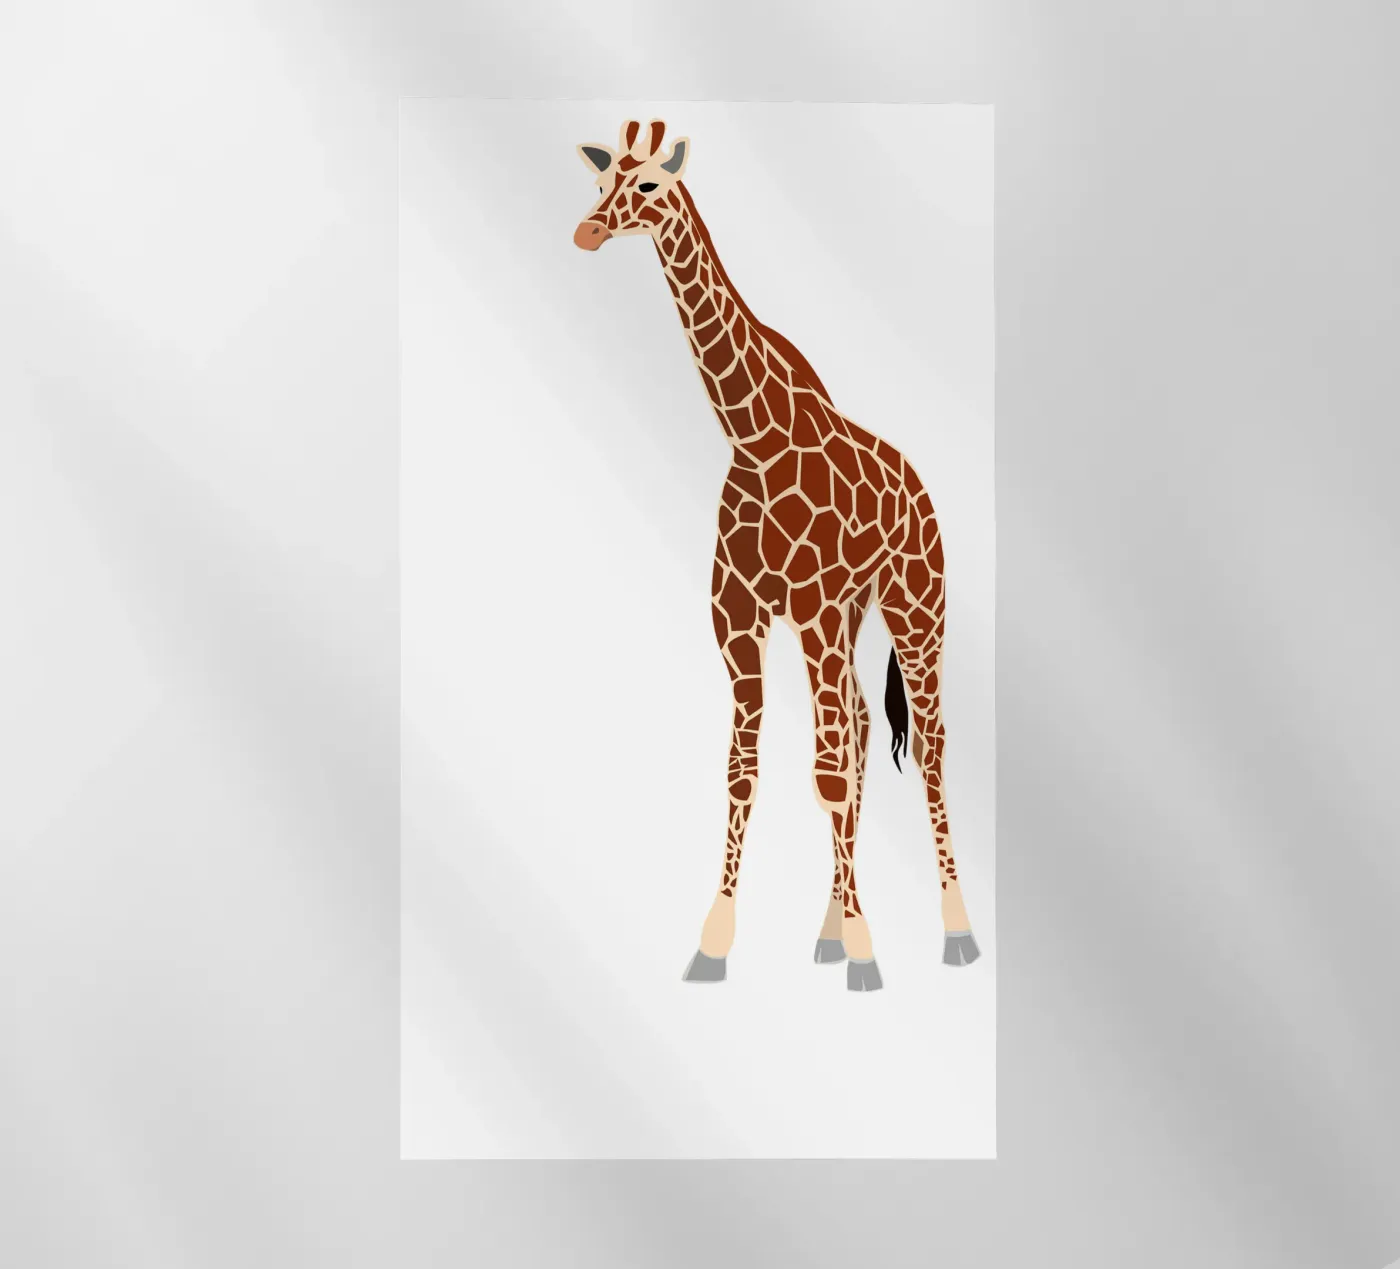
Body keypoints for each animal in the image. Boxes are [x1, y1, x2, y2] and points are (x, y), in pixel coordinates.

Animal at [573, 119, 981, 991]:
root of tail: (923, 489)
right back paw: (828, 928)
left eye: (649, 185)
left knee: (924, 744)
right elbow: (746, 768)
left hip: (913, 605)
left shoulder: (815, 608)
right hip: (849, 616)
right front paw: (716, 943)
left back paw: (955, 930)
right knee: (859, 725)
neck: (753, 439)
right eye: (600, 180)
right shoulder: (739, 617)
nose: (587, 231)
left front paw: (866, 953)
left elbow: (826, 773)